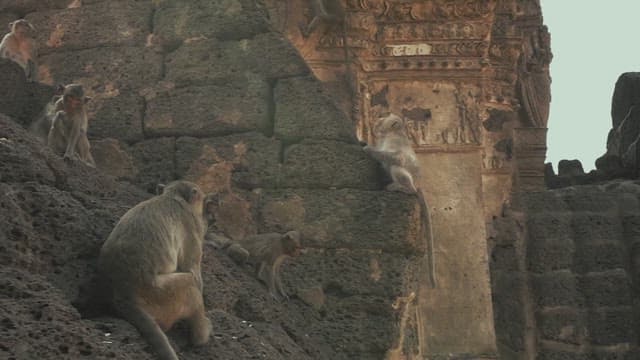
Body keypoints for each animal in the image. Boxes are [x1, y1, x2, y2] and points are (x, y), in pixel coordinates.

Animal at [98, 180, 212, 360]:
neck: (172, 195)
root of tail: (124, 296)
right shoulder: (191, 225)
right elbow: (192, 269)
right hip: (162, 295)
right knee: (189, 283)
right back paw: (201, 336)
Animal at [362, 114, 438, 288]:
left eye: (383, 118)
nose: (376, 121)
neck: (392, 133)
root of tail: (418, 186)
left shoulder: (394, 142)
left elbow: (398, 158)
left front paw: (368, 149)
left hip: (410, 182)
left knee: (397, 167)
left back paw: (402, 188)